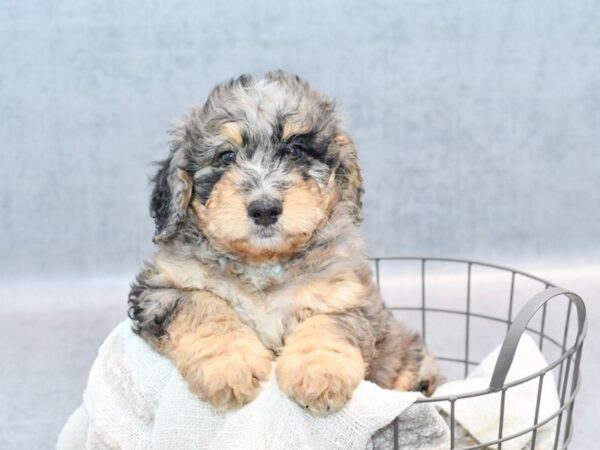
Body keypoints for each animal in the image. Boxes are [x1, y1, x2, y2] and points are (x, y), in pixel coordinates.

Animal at [127, 71, 440, 414]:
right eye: (226, 156)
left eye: (295, 150)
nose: (264, 209)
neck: (264, 264)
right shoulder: (163, 287)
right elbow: (204, 307)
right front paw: (230, 366)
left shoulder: (347, 295)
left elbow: (327, 324)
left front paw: (319, 372)